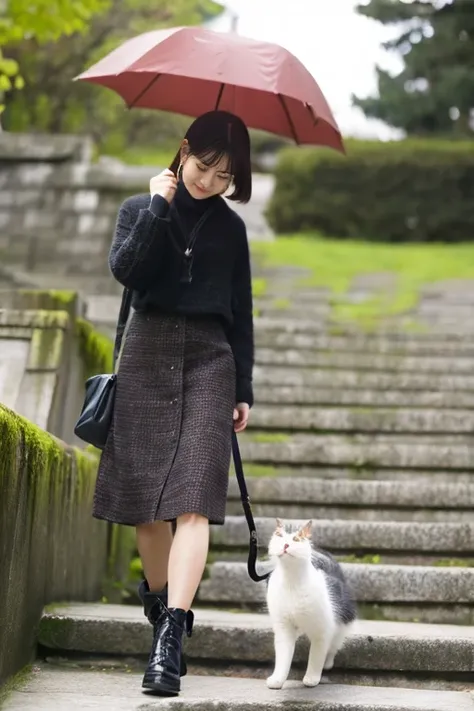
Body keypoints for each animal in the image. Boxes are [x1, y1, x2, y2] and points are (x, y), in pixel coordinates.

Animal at [266, 516, 356, 688]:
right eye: (280, 536)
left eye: (296, 539)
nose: (285, 545)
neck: (291, 580)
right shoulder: (283, 627)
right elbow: (283, 656)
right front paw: (277, 680)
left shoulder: (322, 629)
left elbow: (316, 656)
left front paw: (312, 678)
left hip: (341, 624)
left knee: (333, 647)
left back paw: (328, 663)